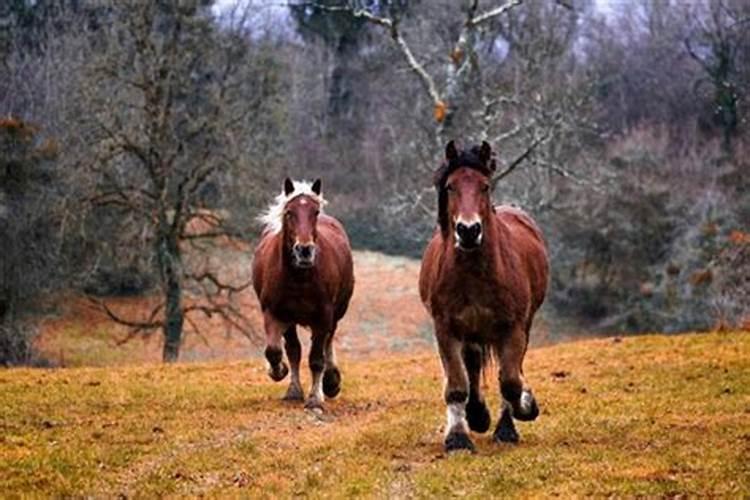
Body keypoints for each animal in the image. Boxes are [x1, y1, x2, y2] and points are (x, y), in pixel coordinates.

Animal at [253, 180, 356, 410]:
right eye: (289, 212)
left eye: (315, 212)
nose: (304, 250)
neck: (299, 278)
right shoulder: (274, 313)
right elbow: (276, 351)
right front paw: (280, 374)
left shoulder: (323, 315)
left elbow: (316, 358)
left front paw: (316, 397)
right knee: (294, 349)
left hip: (336, 313)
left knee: (328, 340)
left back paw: (330, 381)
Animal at [420, 141, 548, 454]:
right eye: (451, 186)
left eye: (485, 186)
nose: (468, 231)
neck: (475, 273)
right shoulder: (446, 329)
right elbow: (457, 384)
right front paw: (458, 437)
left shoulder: (512, 328)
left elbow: (511, 382)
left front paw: (524, 409)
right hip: (472, 332)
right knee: (473, 365)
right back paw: (477, 415)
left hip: (521, 326)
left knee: (509, 370)